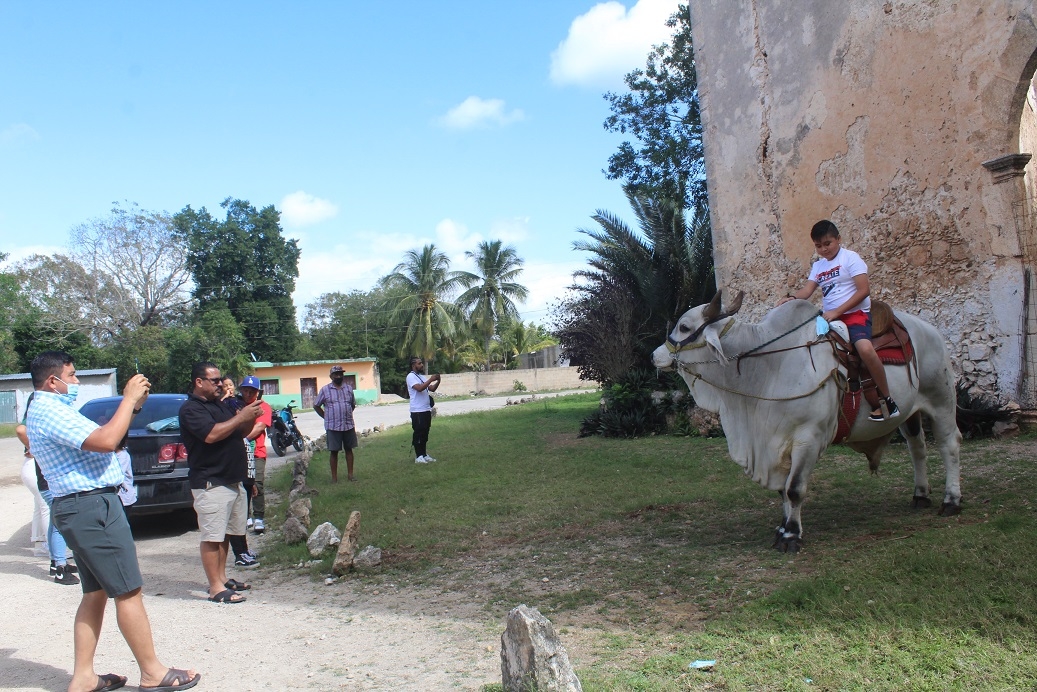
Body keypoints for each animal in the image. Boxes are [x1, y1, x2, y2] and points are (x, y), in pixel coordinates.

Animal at [655, 288, 962, 551]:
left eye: (684, 327)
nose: (654, 355)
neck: (767, 368)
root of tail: (930, 330)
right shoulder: (775, 441)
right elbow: (782, 490)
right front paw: (782, 528)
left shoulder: (808, 438)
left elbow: (794, 489)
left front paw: (791, 536)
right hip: (911, 413)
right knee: (917, 448)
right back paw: (920, 495)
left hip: (942, 402)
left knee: (950, 446)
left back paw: (951, 501)